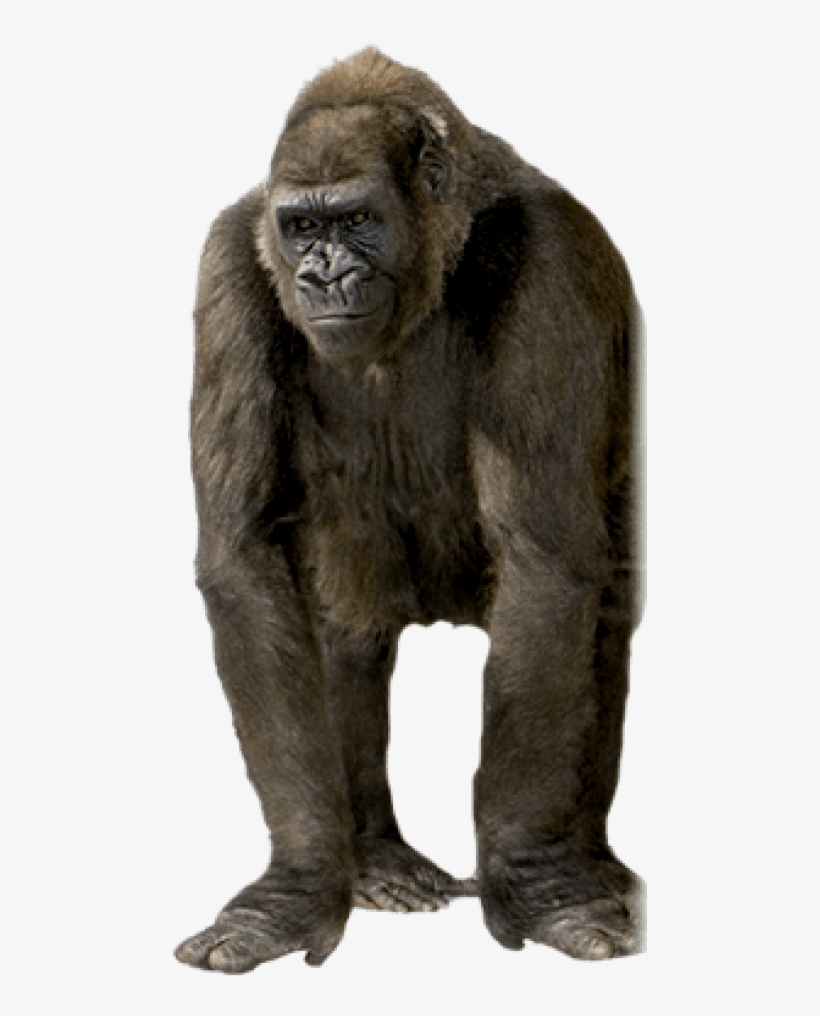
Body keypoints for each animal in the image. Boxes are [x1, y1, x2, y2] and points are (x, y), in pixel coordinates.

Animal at [175, 48, 644, 974]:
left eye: (356, 220)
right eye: (301, 229)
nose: (323, 275)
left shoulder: (553, 256)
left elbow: (543, 565)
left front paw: (533, 880)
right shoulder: (229, 260)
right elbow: (244, 563)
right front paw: (297, 885)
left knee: (602, 613)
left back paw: (589, 862)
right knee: (341, 628)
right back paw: (372, 862)